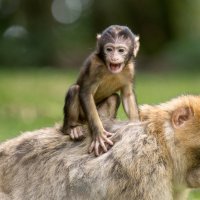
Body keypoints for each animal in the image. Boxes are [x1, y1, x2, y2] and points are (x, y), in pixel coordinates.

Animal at [61, 25, 140, 156]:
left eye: (120, 50)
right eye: (109, 49)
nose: (114, 57)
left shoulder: (130, 69)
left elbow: (127, 96)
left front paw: (135, 125)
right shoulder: (94, 65)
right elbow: (86, 93)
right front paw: (98, 134)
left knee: (113, 98)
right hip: (82, 117)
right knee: (75, 90)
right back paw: (71, 128)